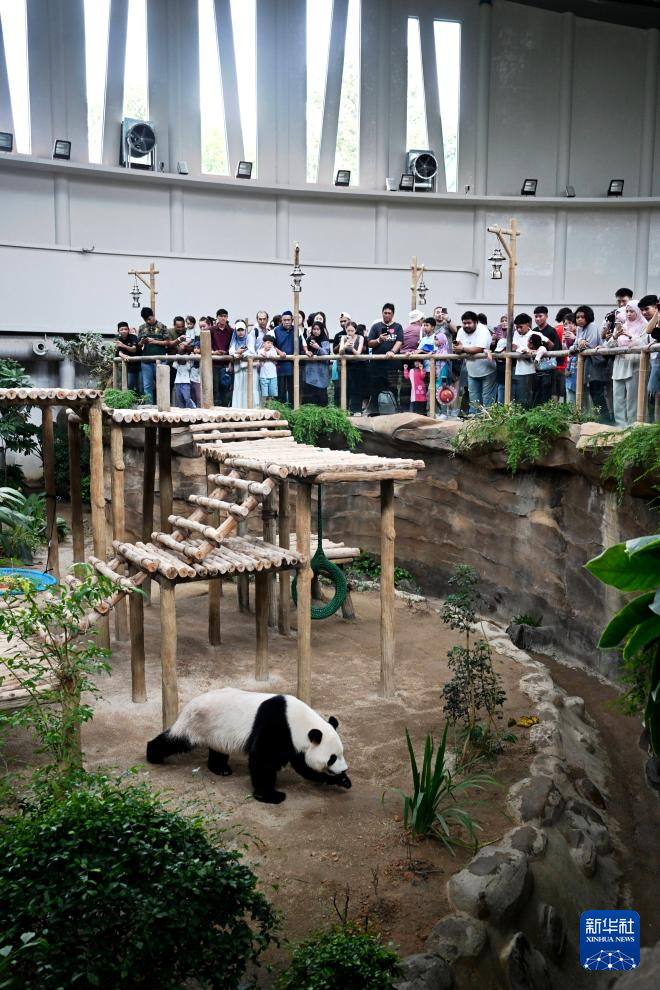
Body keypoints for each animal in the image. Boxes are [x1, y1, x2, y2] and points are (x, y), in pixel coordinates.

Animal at [146, 687, 351, 804]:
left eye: (341, 754)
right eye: (332, 758)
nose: (344, 769)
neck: (297, 720)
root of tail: (190, 703)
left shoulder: (294, 741)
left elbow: (303, 766)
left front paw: (341, 780)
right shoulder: (277, 727)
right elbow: (263, 760)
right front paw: (271, 795)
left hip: (216, 730)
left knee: (218, 749)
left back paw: (221, 769)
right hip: (197, 722)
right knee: (176, 739)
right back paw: (152, 754)